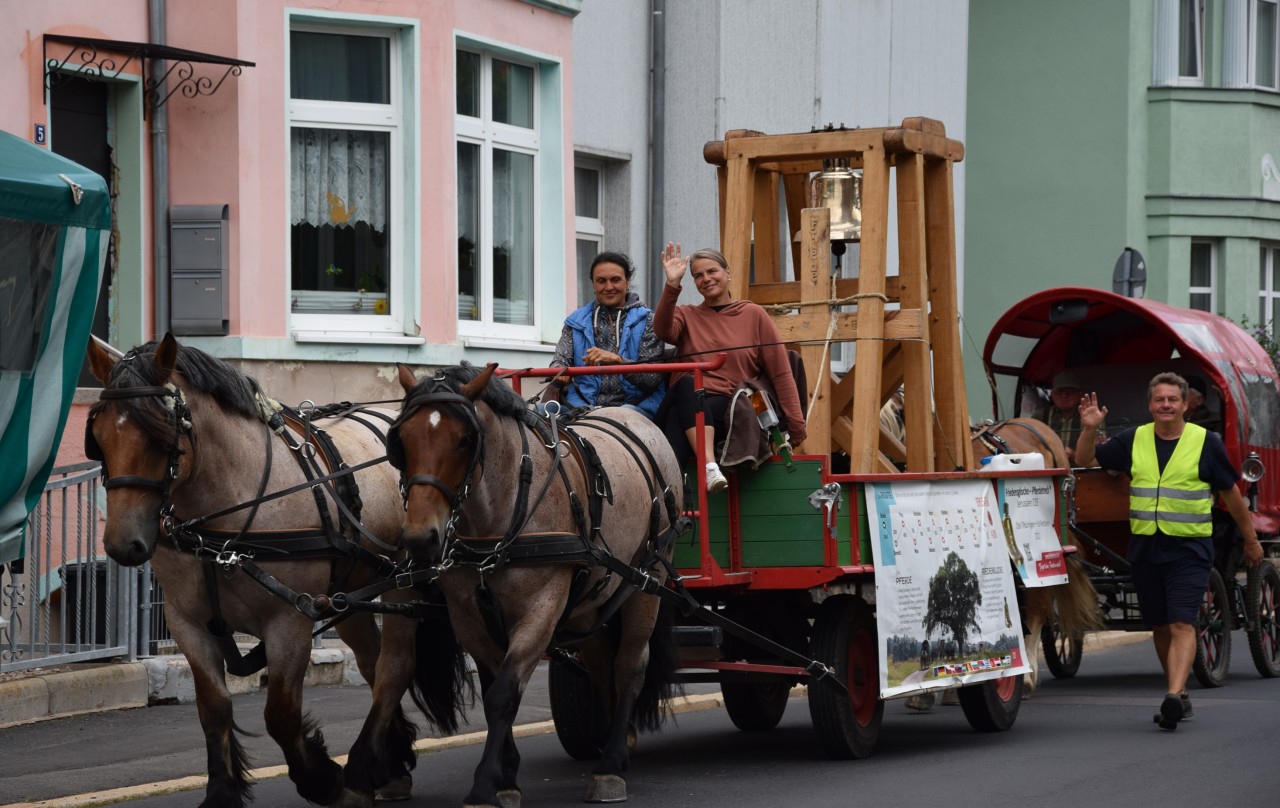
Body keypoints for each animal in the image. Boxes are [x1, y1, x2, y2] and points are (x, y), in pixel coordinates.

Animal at [90, 335, 471, 808]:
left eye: (163, 436)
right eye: (98, 437)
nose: (122, 545)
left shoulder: (289, 621)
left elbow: (281, 713)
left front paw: (323, 780)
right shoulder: (187, 623)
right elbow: (213, 707)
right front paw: (221, 793)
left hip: (403, 585)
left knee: (394, 667)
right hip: (351, 595)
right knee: (372, 662)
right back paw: (391, 764)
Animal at [391, 366, 686, 808]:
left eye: (464, 439)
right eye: (402, 440)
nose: (419, 538)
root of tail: (641, 422)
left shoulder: (540, 610)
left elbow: (504, 694)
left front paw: (484, 785)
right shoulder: (469, 618)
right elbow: (495, 690)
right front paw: (506, 777)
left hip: (647, 582)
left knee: (630, 666)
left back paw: (611, 765)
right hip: (590, 600)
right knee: (600, 664)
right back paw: (604, 740)